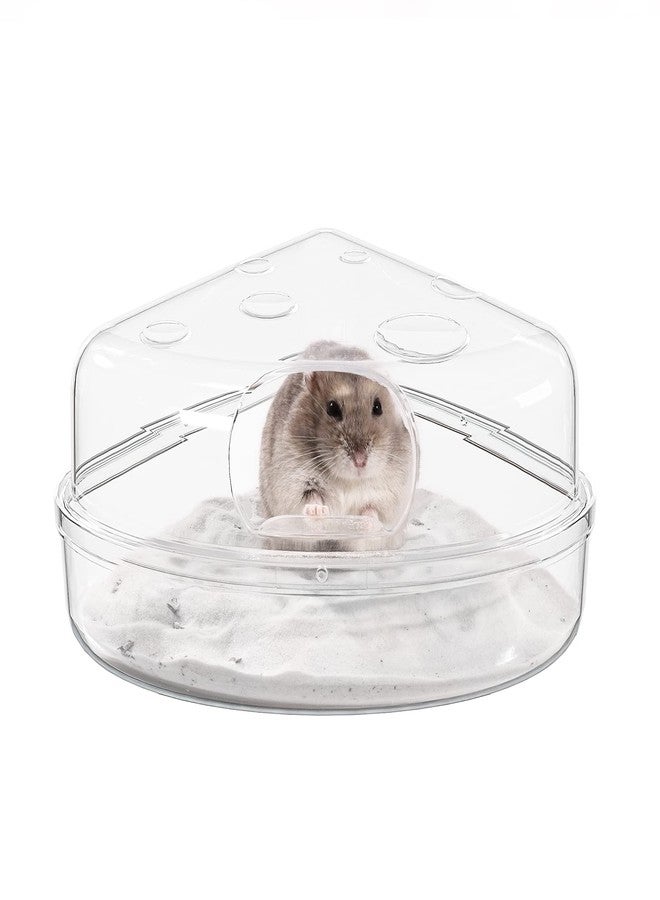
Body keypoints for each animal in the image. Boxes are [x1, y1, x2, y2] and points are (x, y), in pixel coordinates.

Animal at [259, 340, 413, 550]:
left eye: (378, 407)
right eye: (332, 408)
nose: (360, 461)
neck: (348, 480)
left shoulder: (387, 495)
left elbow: (372, 511)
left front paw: (365, 523)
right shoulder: (296, 482)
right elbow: (311, 498)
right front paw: (318, 513)